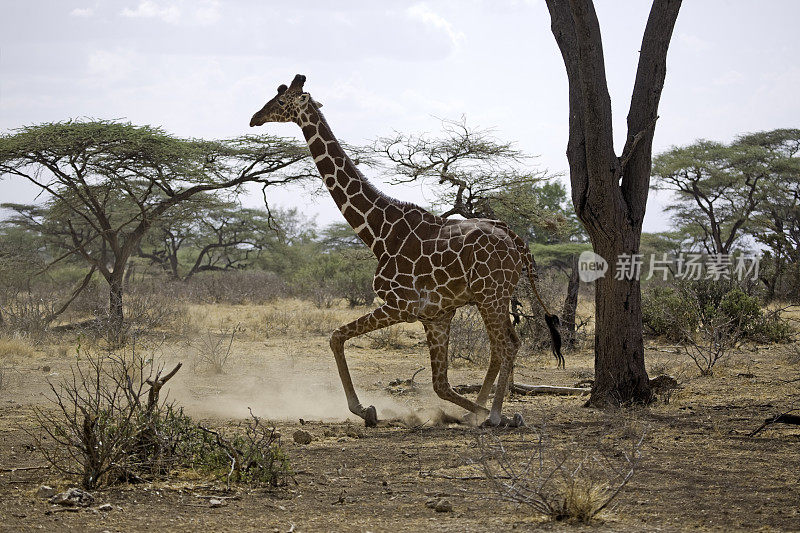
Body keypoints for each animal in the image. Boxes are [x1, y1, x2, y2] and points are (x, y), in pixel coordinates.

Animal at [247, 75, 560, 426]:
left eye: (281, 100)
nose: (254, 118)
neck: (377, 233)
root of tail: (517, 240)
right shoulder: (436, 315)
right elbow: (440, 384)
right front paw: (465, 413)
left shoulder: (400, 306)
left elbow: (336, 336)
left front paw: (364, 409)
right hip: (493, 296)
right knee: (509, 345)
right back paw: (484, 412)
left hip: (491, 295)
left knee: (504, 346)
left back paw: (493, 415)